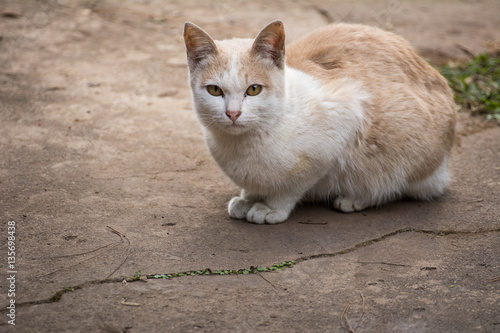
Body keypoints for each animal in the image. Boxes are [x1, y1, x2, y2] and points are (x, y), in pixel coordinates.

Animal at [184, 20, 458, 223]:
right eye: (215, 91)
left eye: (253, 89)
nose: (233, 113)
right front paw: (249, 198)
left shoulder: (344, 117)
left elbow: (293, 187)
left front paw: (271, 207)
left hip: (403, 150)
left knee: (392, 185)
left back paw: (355, 198)